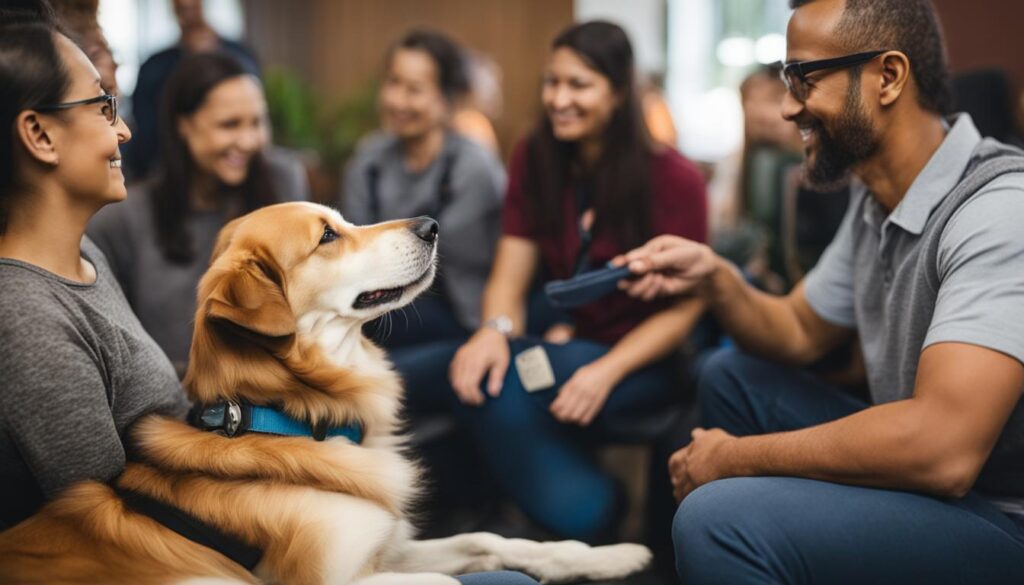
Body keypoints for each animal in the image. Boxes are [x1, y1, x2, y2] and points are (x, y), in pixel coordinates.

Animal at [0, 202, 647, 585]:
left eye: (343, 220)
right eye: (329, 236)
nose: (431, 225)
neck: (284, 415)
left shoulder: (382, 545)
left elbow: (488, 538)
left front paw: (610, 556)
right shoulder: (330, 577)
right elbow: (448, 580)